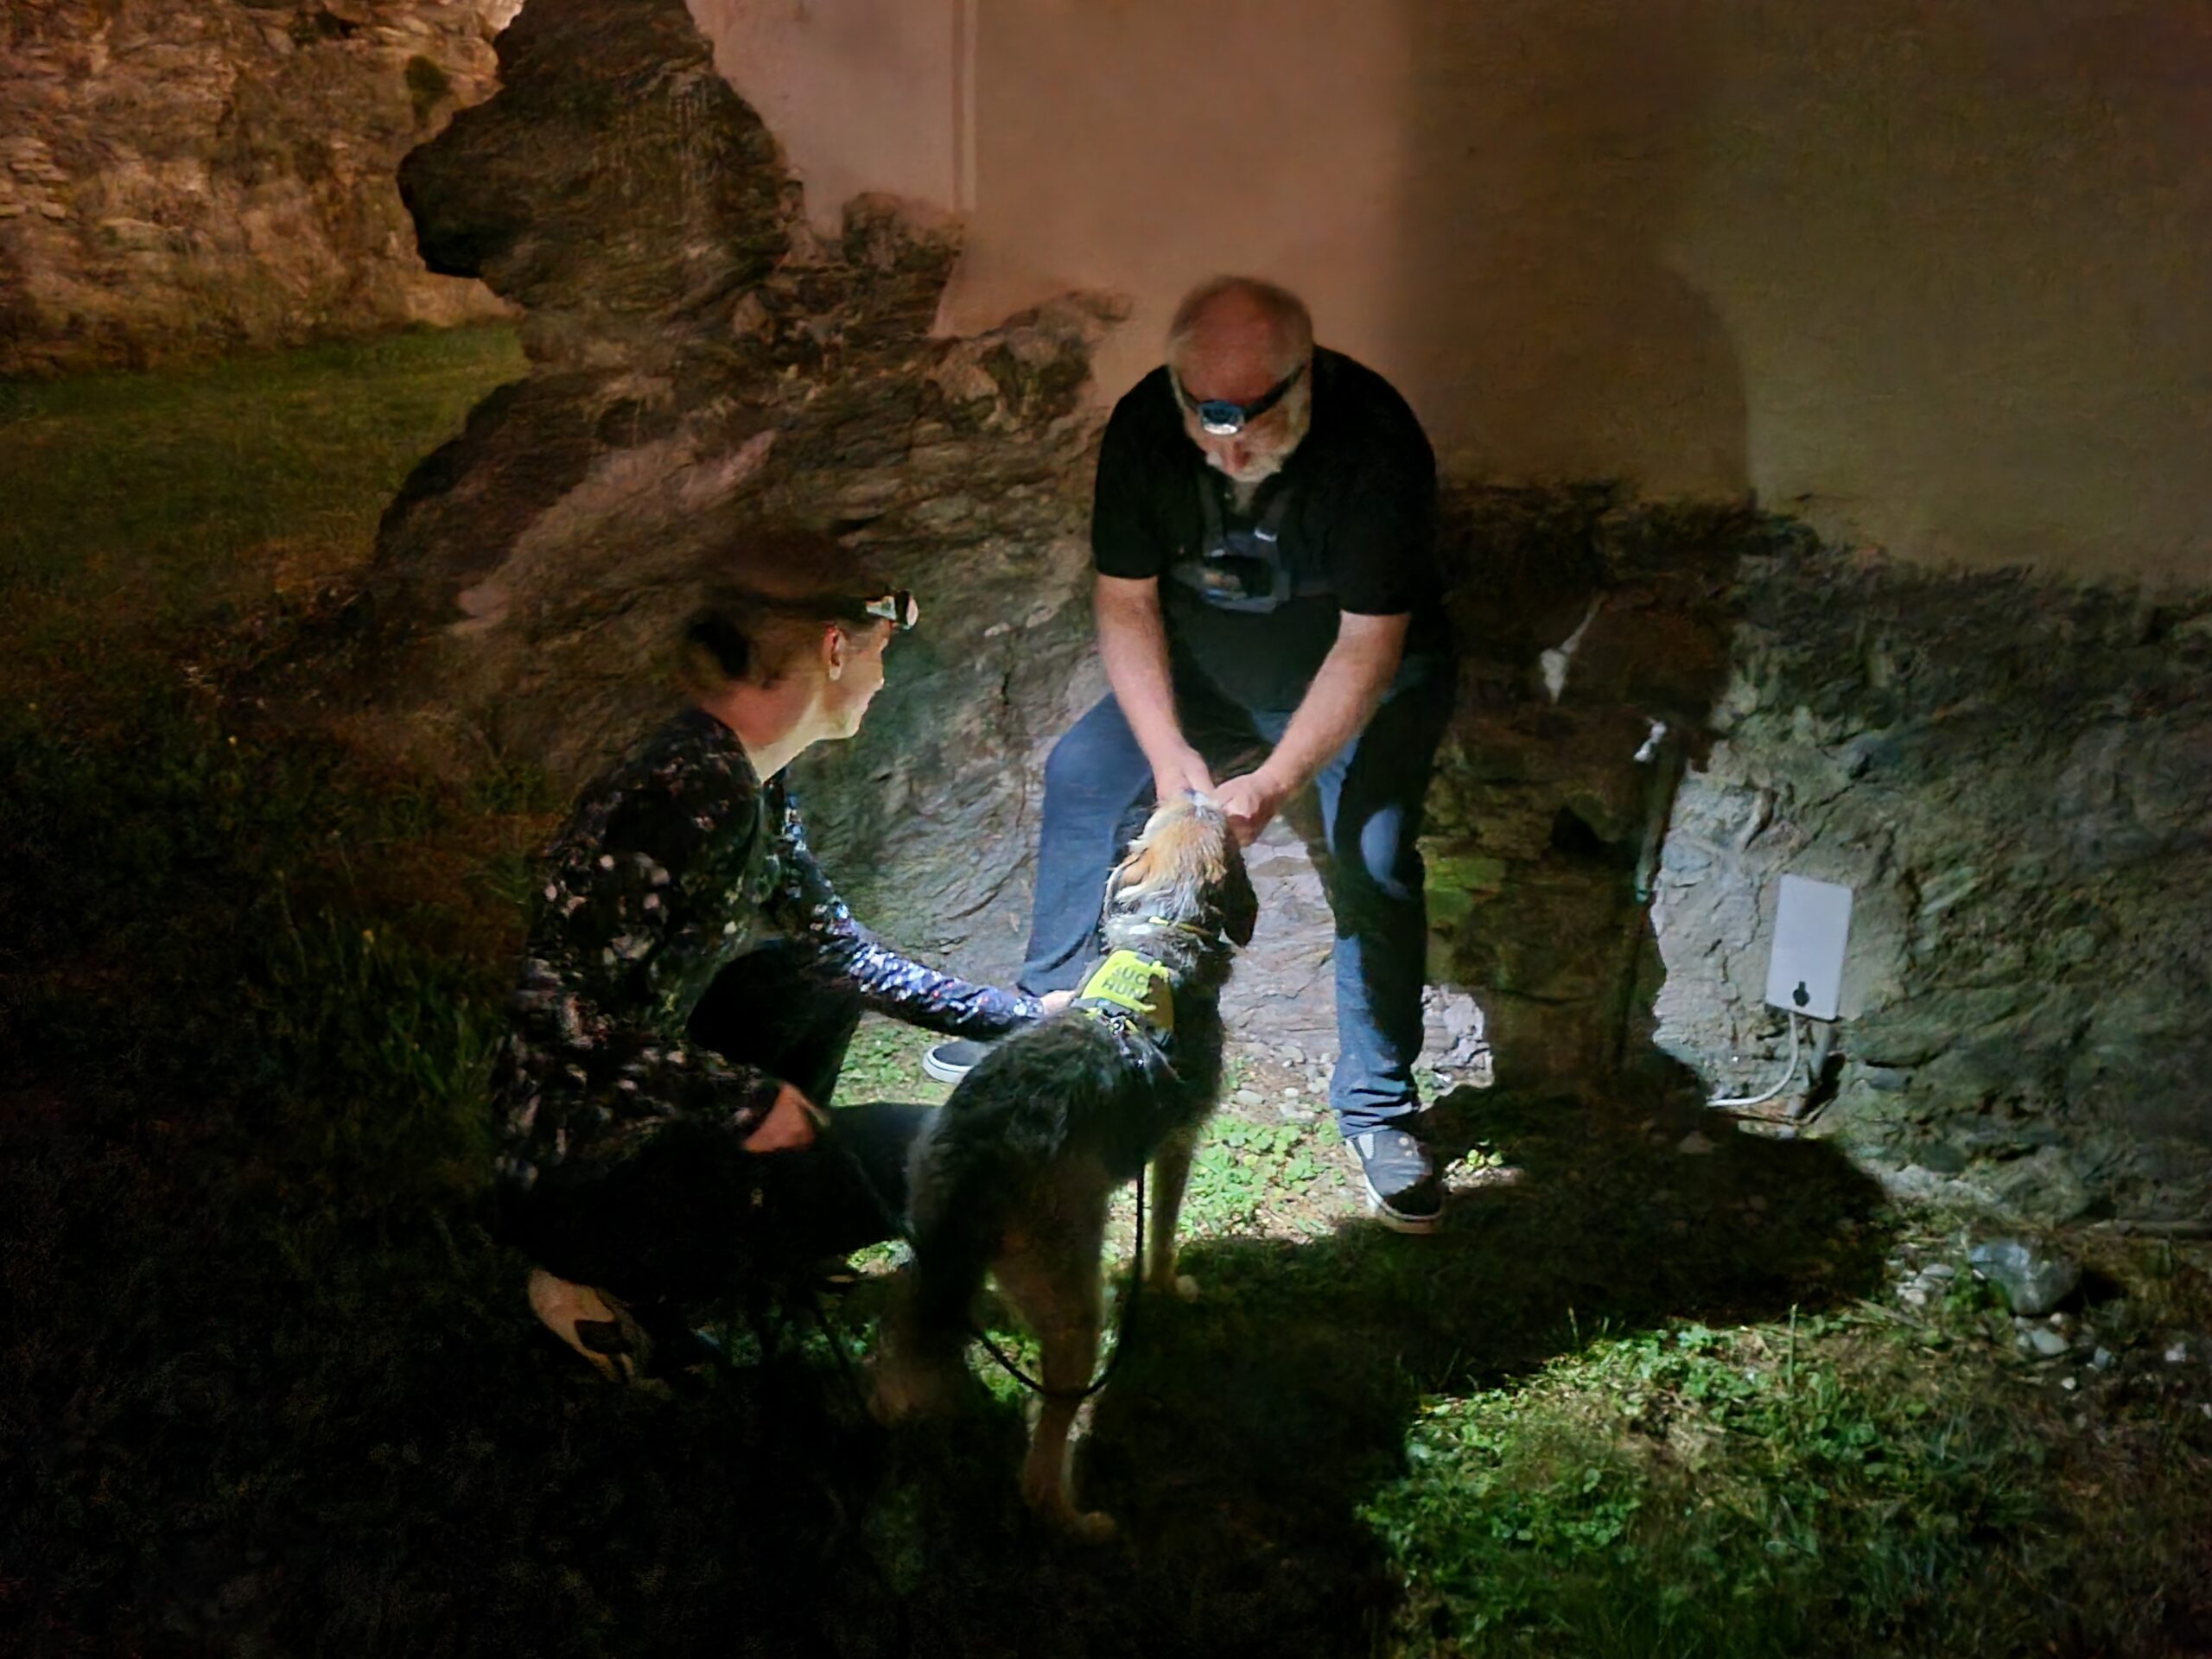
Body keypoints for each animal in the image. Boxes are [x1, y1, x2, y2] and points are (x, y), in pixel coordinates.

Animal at [873, 792, 1257, 1538]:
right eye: (1206, 817)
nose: (1198, 789)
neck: (1163, 936)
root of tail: (978, 1157)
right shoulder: (1177, 1145)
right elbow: (1162, 1238)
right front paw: (1169, 1286)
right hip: (1079, 1308)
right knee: (1039, 1465)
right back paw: (1077, 1518)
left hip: (928, 1259)